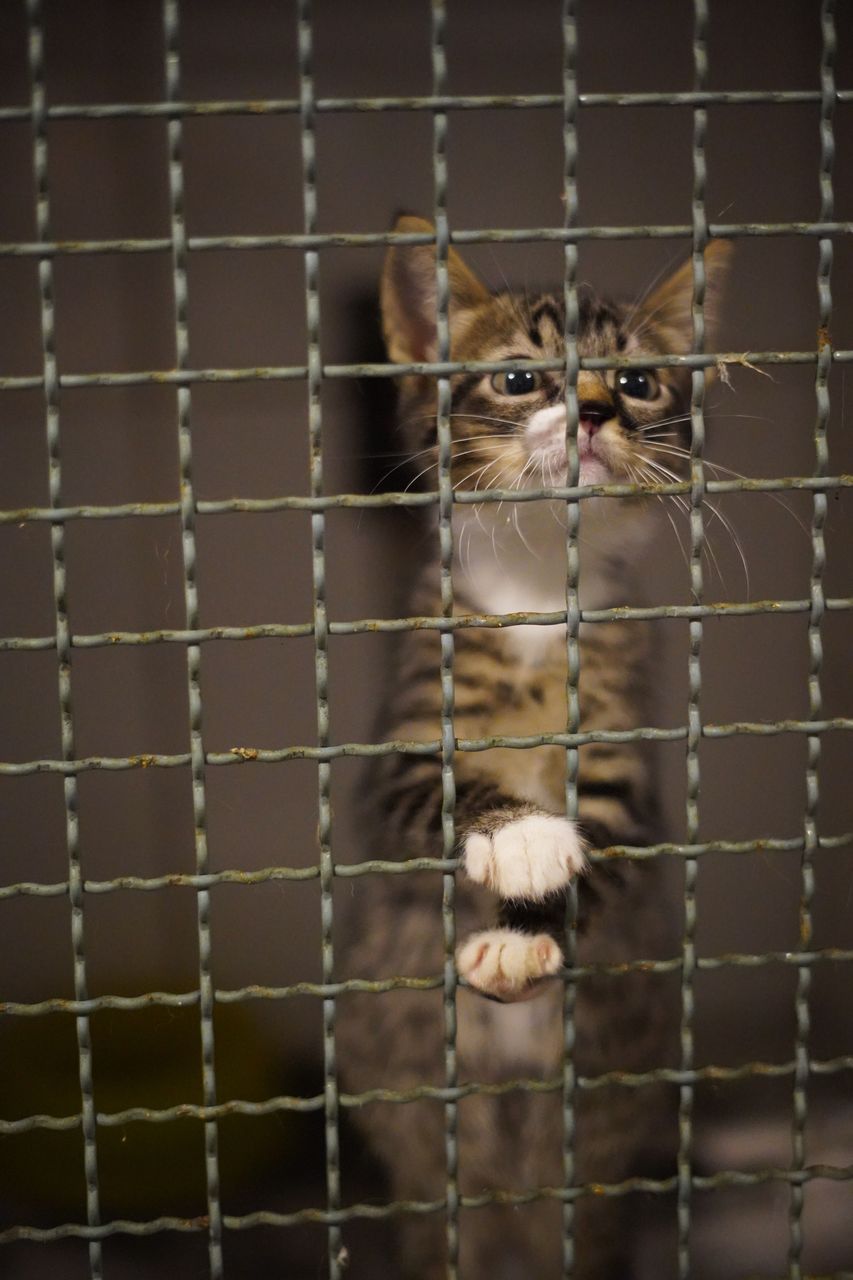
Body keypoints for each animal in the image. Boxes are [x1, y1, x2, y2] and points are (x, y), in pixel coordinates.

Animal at [335, 220, 727, 1280]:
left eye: (637, 382)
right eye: (520, 379)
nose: (591, 410)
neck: (539, 589)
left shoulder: (624, 760)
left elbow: (603, 852)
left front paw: (525, 931)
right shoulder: (402, 745)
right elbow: (443, 794)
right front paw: (515, 833)